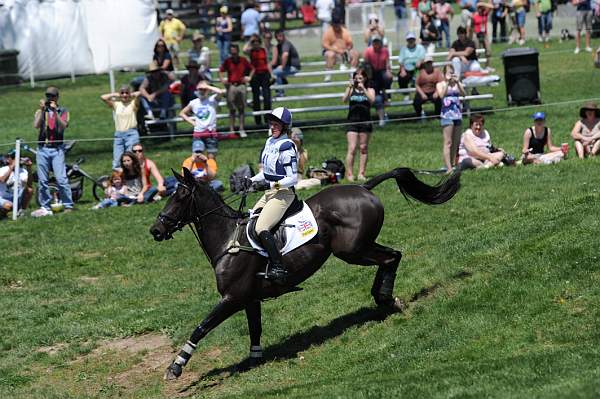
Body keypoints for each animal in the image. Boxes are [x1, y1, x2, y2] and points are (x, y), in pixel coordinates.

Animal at [149, 167, 460, 380]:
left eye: (180, 197)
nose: (155, 230)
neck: (228, 241)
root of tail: (363, 187)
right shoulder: (250, 299)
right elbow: (255, 328)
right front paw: (255, 360)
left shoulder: (232, 298)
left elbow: (201, 327)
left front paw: (175, 367)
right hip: (358, 249)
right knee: (391, 257)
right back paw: (384, 299)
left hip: (353, 251)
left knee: (393, 256)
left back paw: (386, 298)